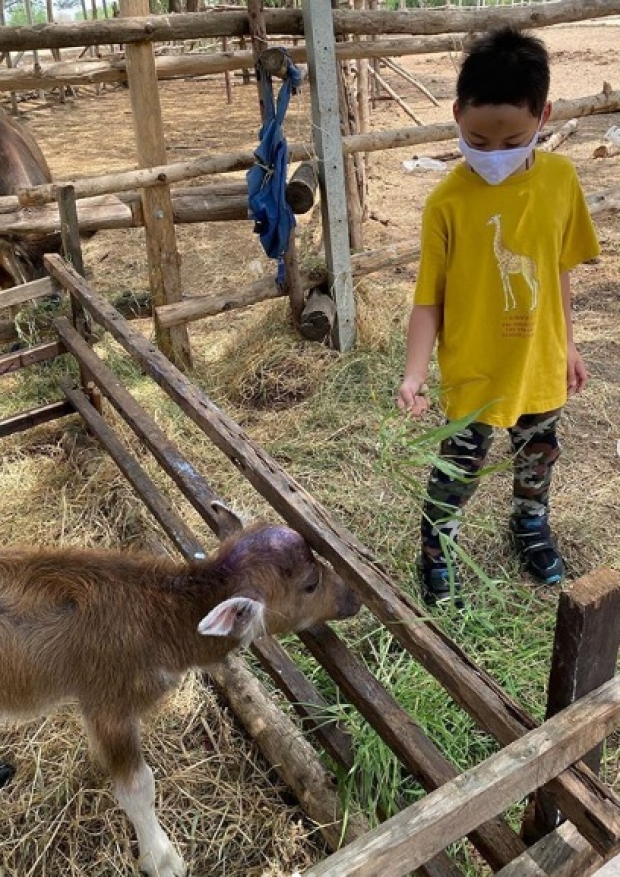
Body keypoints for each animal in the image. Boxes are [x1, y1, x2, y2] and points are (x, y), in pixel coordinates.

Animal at [0, 524, 360, 872]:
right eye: (310, 584)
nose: (352, 598)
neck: (163, 622)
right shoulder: (110, 705)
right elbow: (139, 787)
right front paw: (161, 860)